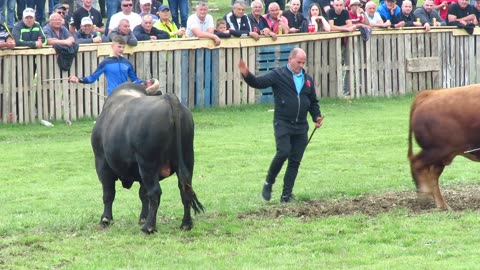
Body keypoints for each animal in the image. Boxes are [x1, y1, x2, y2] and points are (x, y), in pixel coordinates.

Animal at [92, 81, 204, 233]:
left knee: (155, 192)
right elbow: (142, 194)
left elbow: (109, 193)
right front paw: (142, 217)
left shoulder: (102, 163)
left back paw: (149, 227)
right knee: (184, 188)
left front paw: (105, 219)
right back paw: (186, 223)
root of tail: (169, 99)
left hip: (147, 164)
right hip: (187, 159)